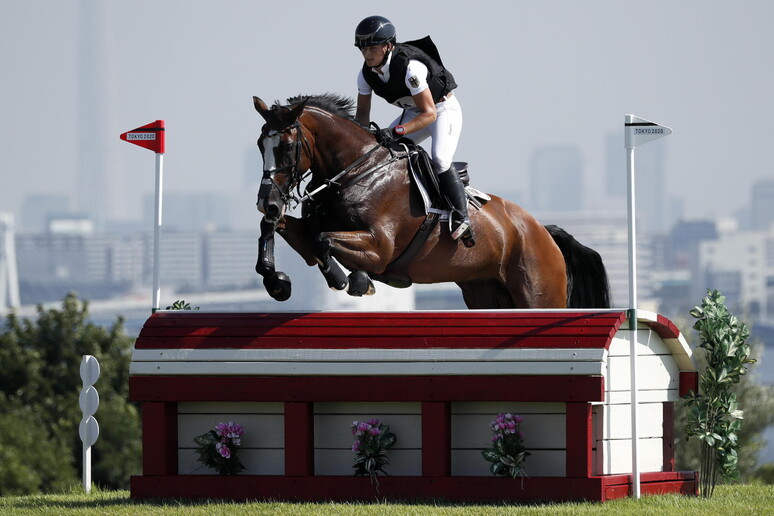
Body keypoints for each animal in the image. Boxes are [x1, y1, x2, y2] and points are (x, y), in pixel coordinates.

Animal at [255, 93, 612, 308]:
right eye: (261, 144)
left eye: (287, 146)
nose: (266, 200)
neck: (357, 171)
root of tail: (543, 233)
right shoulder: (309, 227)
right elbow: (282, 228)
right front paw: (276, 281)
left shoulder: (380, 247)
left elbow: (323, 240)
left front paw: (351, 280)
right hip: (486, 294)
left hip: (538, 295)